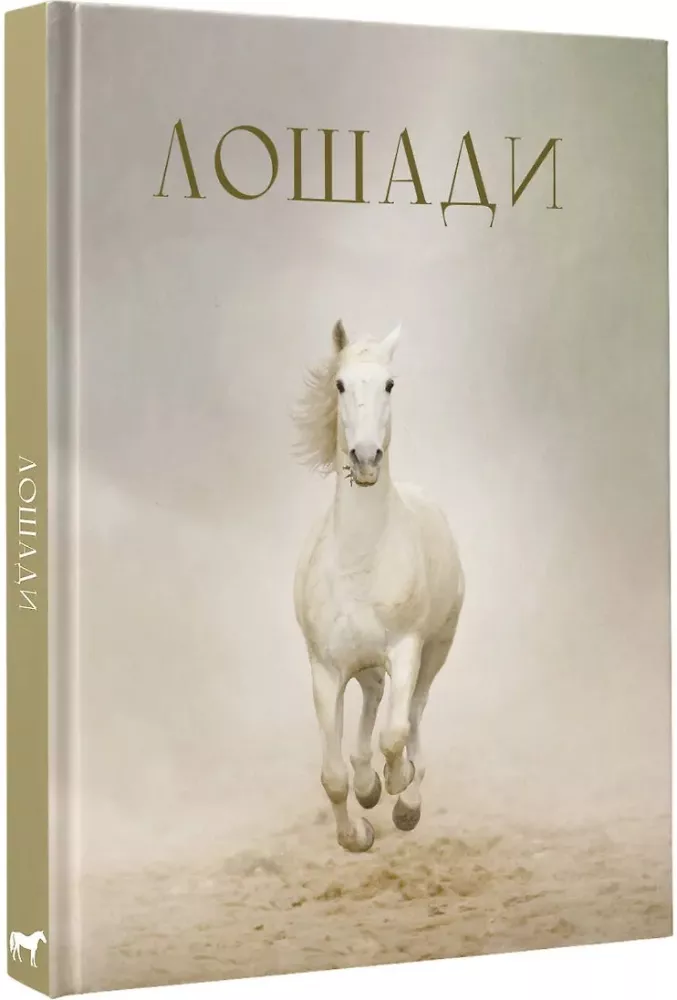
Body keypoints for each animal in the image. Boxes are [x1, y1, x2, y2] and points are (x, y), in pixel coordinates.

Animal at [293, 320, 464, 852]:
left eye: (389, 384)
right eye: (339, 384)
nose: (366, 458)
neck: (360, 560)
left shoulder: (406, 649)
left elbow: (396, 733)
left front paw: (400, 790)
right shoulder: (325, 670)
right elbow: (333, 775)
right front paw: (357, 832)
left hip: (436, 649)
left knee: (414, 712)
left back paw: (406, 792)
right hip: (363, 665)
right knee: (371, 701)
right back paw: (370, 785)